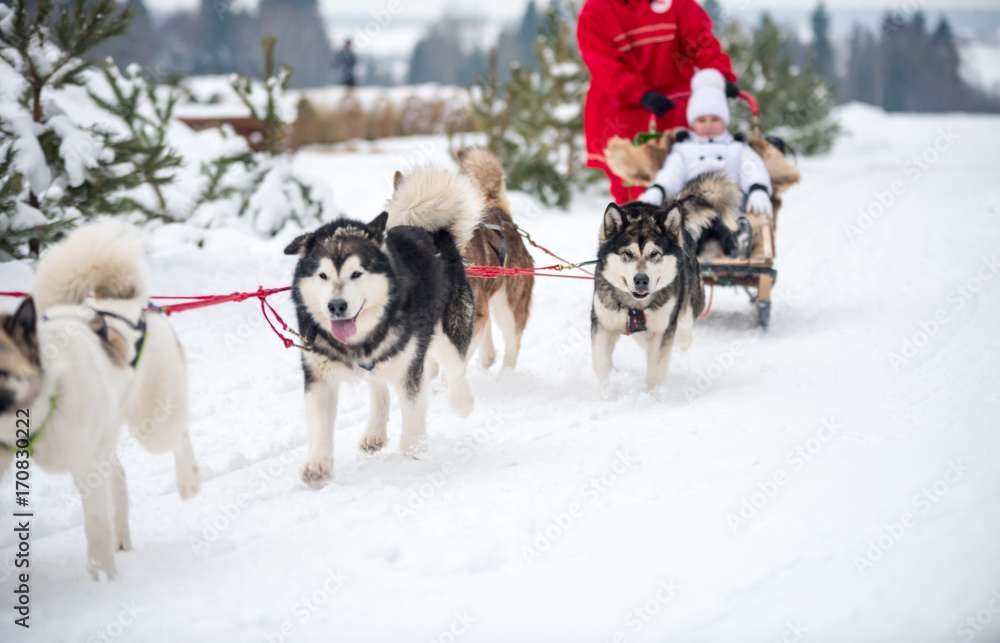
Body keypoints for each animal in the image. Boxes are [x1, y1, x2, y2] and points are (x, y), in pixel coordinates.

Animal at [0, 221, 201, 580]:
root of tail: (136, 305)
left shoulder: (86, 464)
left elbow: (95, 528)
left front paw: (104, 582)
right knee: (118, 475)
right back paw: (122, 539)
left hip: (151, 425)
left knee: (177, 438)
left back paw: (189, 481)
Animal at [286, 166, 484, 488]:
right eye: (322, 275)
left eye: (356, 273)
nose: (336, 306)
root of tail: (428, 231)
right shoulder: (319, 375)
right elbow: (319, 424)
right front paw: (318, 465)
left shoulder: (410, 369)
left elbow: (414, 415)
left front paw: (414, 455)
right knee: (378, 387)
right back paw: (374, 432)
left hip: (445, 332)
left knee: (456, 367)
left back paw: (462, 403)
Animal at [588, 171, 740, 390]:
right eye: (628, 253)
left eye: (654, 254)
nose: (641, 280)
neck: (635, 306)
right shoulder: (603, 325)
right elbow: (600, 363)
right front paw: (611, 388)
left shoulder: (663, 330)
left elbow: (656, 370)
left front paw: (650, 395)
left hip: (690, 299)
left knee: (685, 323)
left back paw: (684, 340)